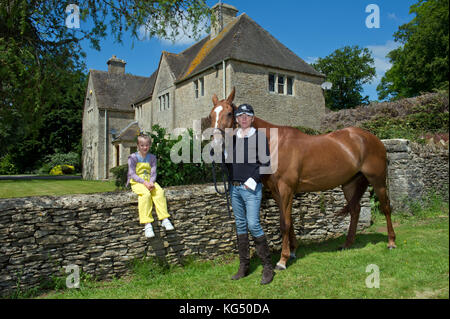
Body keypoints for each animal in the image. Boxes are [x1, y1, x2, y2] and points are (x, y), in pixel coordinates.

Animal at [209, 88, 396, 272]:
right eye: (211, 115)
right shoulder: (277, 192)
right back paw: (347, 244)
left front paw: (282, 260)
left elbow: (284, 223)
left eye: (229, 113)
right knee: (355, 210)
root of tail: (372, 138)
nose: (216, 145)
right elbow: (288, 221)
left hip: (378, 181)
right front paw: (292, 252)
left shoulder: (286, 189)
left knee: (386, 207)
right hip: (349, 184)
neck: (274, 144)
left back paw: (391, 242)